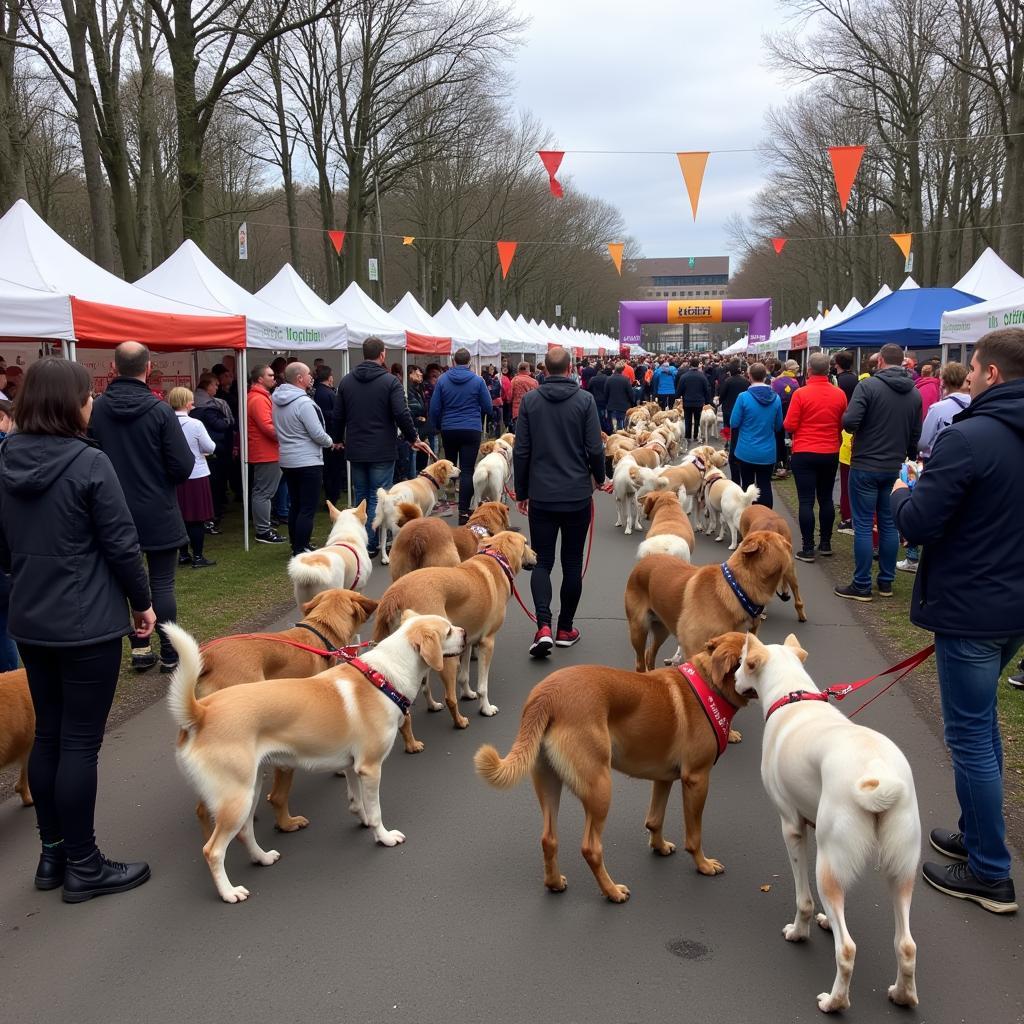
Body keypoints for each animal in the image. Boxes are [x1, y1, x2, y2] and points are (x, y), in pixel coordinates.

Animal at [164, 606, 468, 905]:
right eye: (448, 631)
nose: (465, 633)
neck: (384, 678)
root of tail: (201, 713)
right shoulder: (371, 768)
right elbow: (376, 811)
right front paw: (383, 836)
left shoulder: (353, 768)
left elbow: (358, 802)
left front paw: (363, 820)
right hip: (235, 799)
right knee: (213, 851)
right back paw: (229, 892)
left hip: (249, 791)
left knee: (244, 832)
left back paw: (262, 858)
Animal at [374, 528, 536, 729]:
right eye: (526, 542)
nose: (537, 555)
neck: (496, 558)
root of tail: (395, 594)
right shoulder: (487, 643)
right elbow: (483, 687)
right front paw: (486, 709)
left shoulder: (466, 641)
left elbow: (464, 676)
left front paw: (467, 694)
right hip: (445, 658)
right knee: (449, 697)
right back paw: (460, 722)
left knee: (424, 687)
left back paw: (433, 706)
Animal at [475, 630, 749, 905]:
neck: (708, 684)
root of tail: (546, 696)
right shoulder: (697, 780)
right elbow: (694, 835)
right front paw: (703, 864)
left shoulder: (663, 779)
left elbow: (655, 819)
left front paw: (659, 847)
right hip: (600, 788)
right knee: (591, 848)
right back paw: (611, 891)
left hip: (549, 783)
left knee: (548, 839)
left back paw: (554, 883)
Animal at [737, 634, 921, 1011]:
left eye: (742, 663)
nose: (732, 679)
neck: (793, 696)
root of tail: (878, 773)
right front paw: (824, 921)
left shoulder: (792, 828)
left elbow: (804, 901)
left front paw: (799, 931)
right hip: (900, 873)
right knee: (906, 945)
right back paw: (903, 995)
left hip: (829, 866)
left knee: (847, 949)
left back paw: (834, 1002)